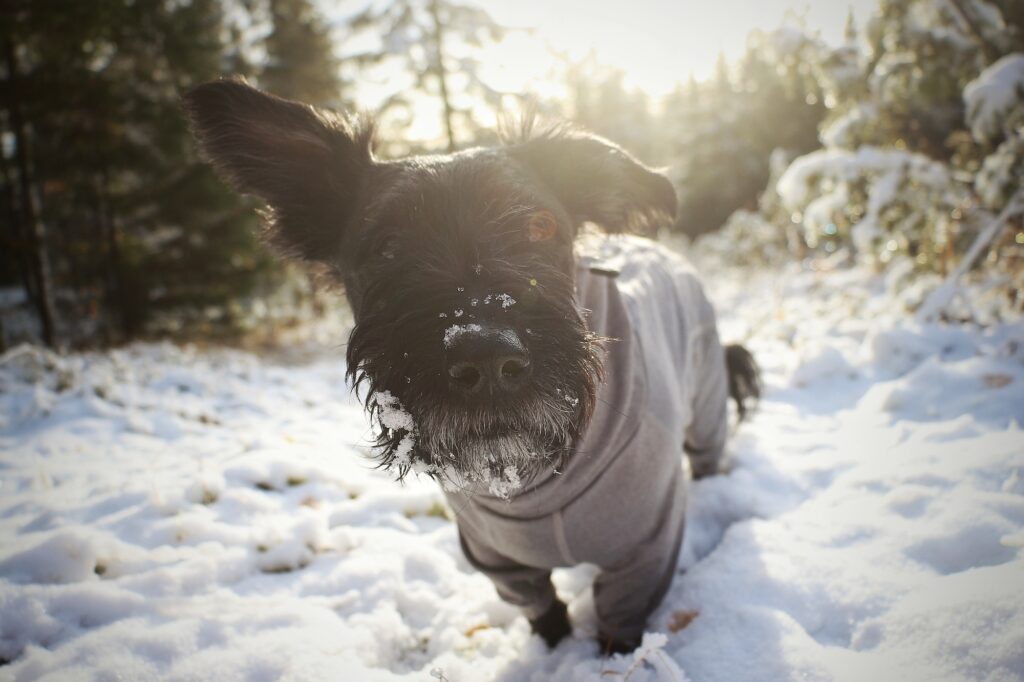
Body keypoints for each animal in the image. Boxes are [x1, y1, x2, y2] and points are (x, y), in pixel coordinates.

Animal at [184, 79, 761, 655]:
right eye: (385, 247)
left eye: (540, 226)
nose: (486, 358)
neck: (532, 482)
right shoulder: (500, 563)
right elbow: (545, 614)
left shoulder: (642, 551)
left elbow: (620, 632)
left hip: (706, 405)